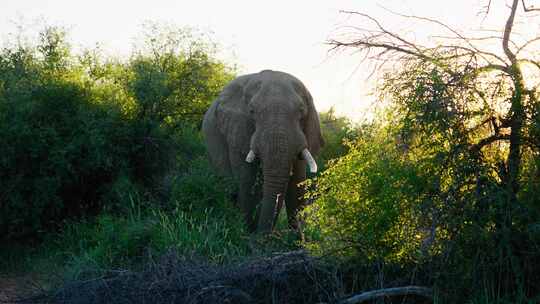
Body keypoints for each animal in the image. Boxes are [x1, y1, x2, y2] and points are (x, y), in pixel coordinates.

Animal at [201, 70, 320, 234]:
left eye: (302, 111)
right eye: (252, 111)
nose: (264, 235)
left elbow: (297, 184)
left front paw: (297, 238)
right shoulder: (238, 129)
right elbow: (248, 180)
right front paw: (247, 233)